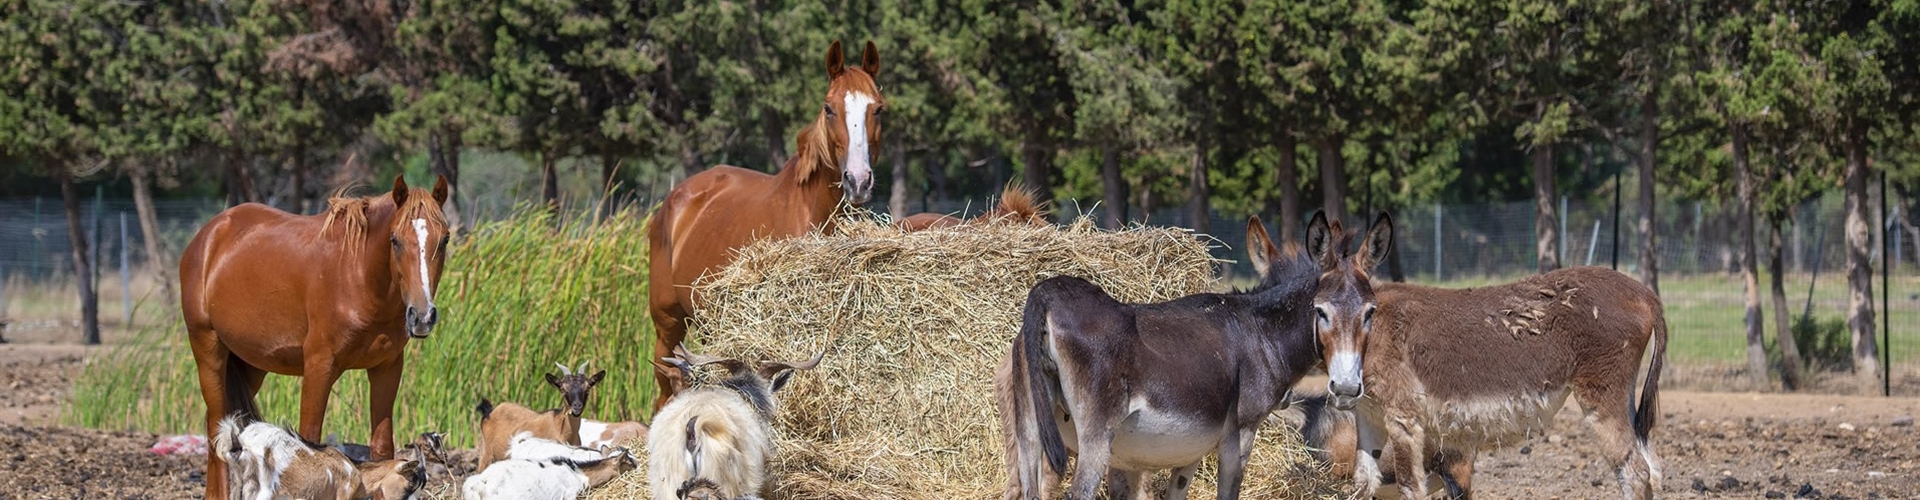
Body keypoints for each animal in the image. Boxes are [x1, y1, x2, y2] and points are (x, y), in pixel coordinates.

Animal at [180, 175, 449, 500]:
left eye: (444, 239)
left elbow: (382, 446)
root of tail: (208, 235)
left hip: (250, 365)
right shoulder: (319, 367)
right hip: (209, 351)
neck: (358, 277)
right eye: (395, 239)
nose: (422, 316)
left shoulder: (387, 368)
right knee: (215, 429)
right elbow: (308, 441)